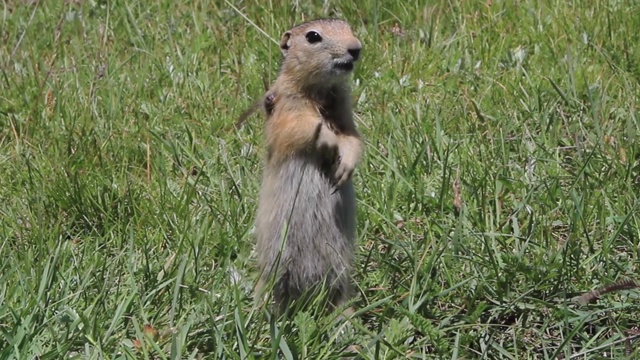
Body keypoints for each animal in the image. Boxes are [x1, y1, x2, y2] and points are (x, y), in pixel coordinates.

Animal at [255, 18, 364, 314]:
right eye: (313, 36)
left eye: (348, 26)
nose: (356, 48)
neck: (320, 89)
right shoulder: (286, 105)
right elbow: (301, 126)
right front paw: (327, 139)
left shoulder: (344, 110)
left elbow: (353, 137)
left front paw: (344, 167)